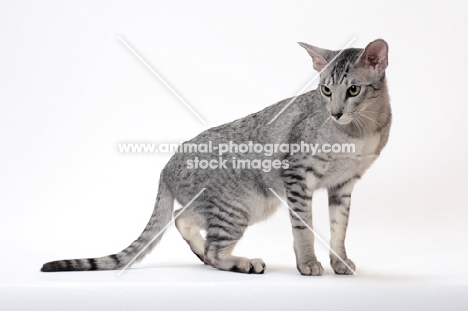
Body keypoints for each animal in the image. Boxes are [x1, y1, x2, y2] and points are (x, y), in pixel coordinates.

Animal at [42, 38, 392, 276]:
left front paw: (340, 262)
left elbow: (339, 228)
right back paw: (243, 262)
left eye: (353, 90)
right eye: (325, 91)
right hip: (242, 205)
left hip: (242, 206)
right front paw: (308, 263)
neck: (359, 132)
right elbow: (303, 226)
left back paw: (205, 254)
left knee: (182, 219)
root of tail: (166, 167)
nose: (335, 113)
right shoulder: (297, 176)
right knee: (211, 246)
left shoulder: (344, 184)